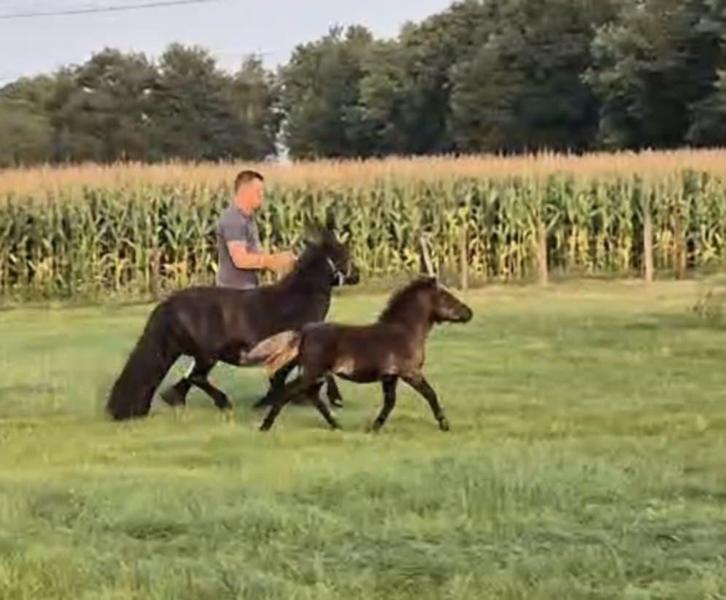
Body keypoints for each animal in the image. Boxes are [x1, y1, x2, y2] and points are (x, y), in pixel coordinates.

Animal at [106, 224, 360, 421]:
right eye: (342, 252)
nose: (356, 274)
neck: (297, 299)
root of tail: (168, 305)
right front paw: (334, 399)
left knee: (189, 378)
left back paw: (174, 398)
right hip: (207, 354)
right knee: (197, 377)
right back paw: (223, 403)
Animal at [242, 276, 473, 432]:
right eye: (446, 297)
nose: (469, 313)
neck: (404, 331)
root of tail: (305, 331)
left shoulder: (390, 376)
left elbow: (390, 402)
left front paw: (374, 428)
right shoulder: (410, 372)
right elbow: (430, 394)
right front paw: (444, 424)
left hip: (317, 375)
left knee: (312, 396)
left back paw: (336, 425)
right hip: (312, 372)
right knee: (290, 392)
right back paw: (265, 426)